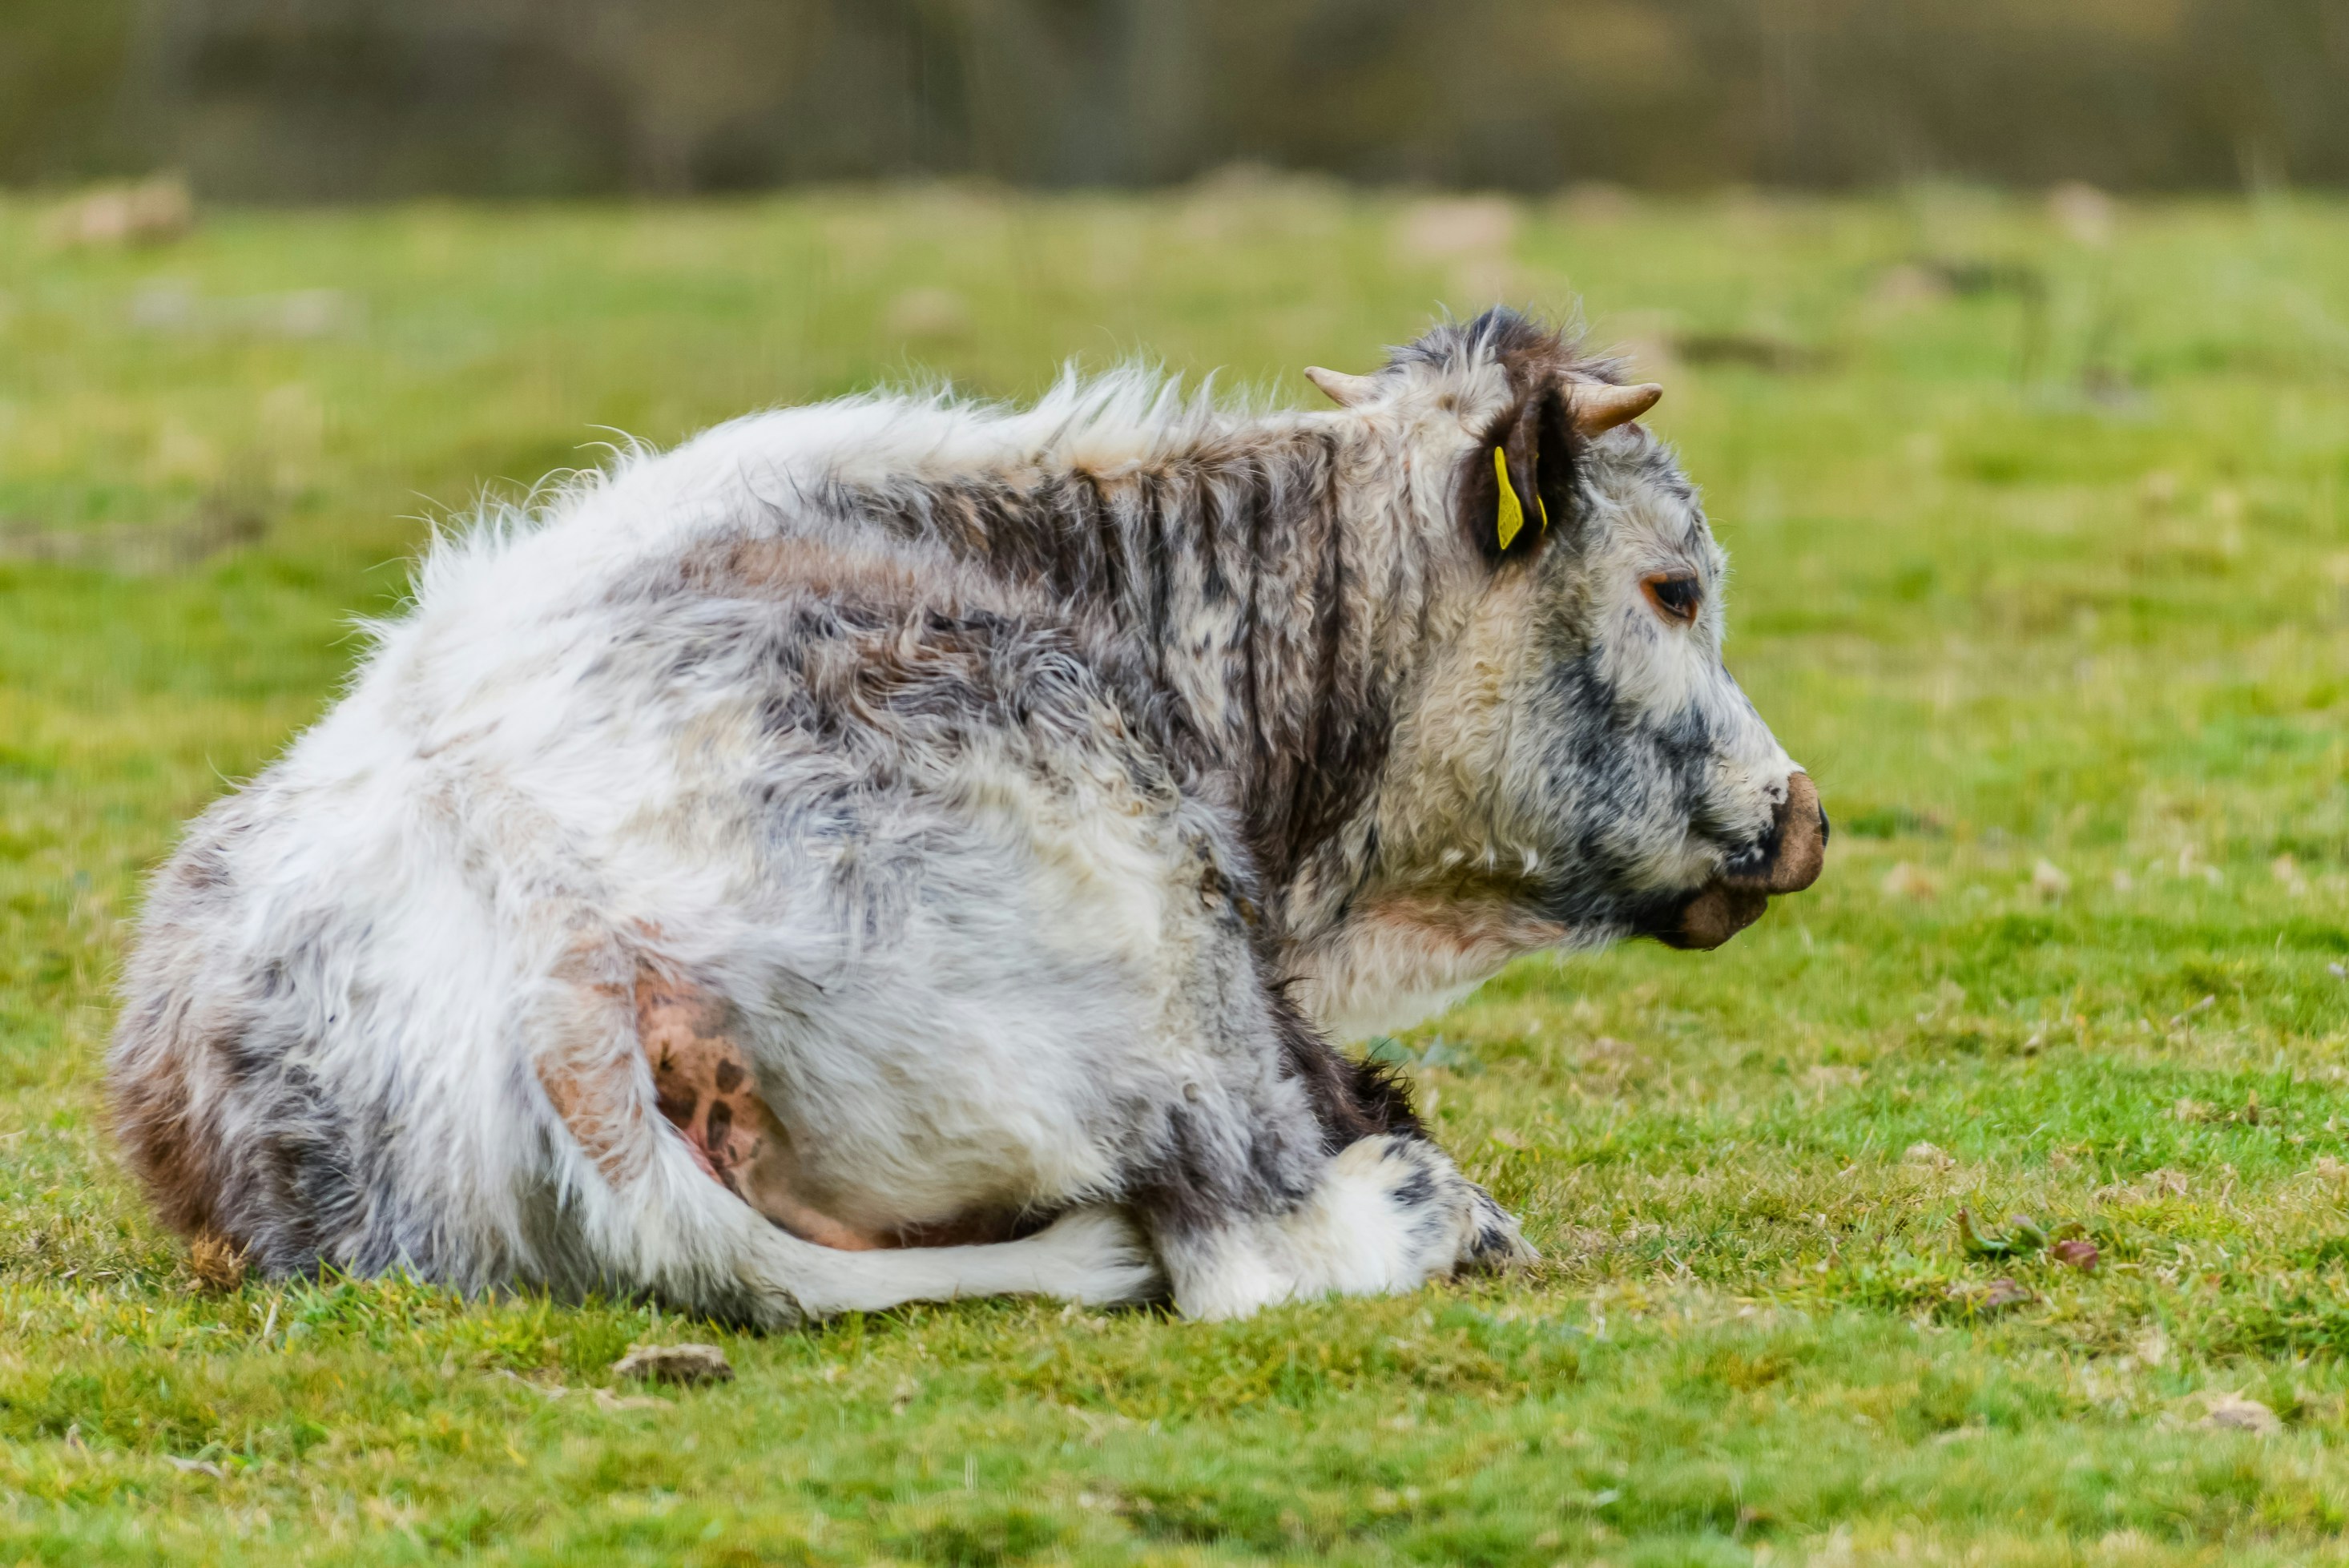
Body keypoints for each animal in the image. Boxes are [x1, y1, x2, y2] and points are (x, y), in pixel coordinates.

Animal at [108, 309, 1825, 1324]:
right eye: (1673, 587)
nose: (1800, 816)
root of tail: (554, 948)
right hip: (1162, 955)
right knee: (1254, 1245)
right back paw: (1430, 1209)